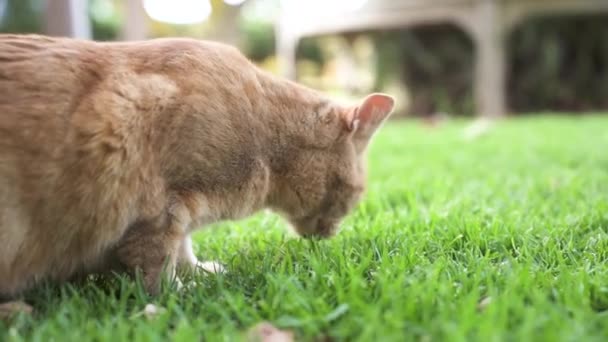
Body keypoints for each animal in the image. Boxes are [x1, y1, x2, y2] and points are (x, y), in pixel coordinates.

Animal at [0, 34, 394, 310]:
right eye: (354, 196)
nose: (330, 233)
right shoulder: (161, 210)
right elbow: (157, 267)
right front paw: (180, 294)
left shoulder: (179, 215)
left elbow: (184, 249)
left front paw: (202, 273)